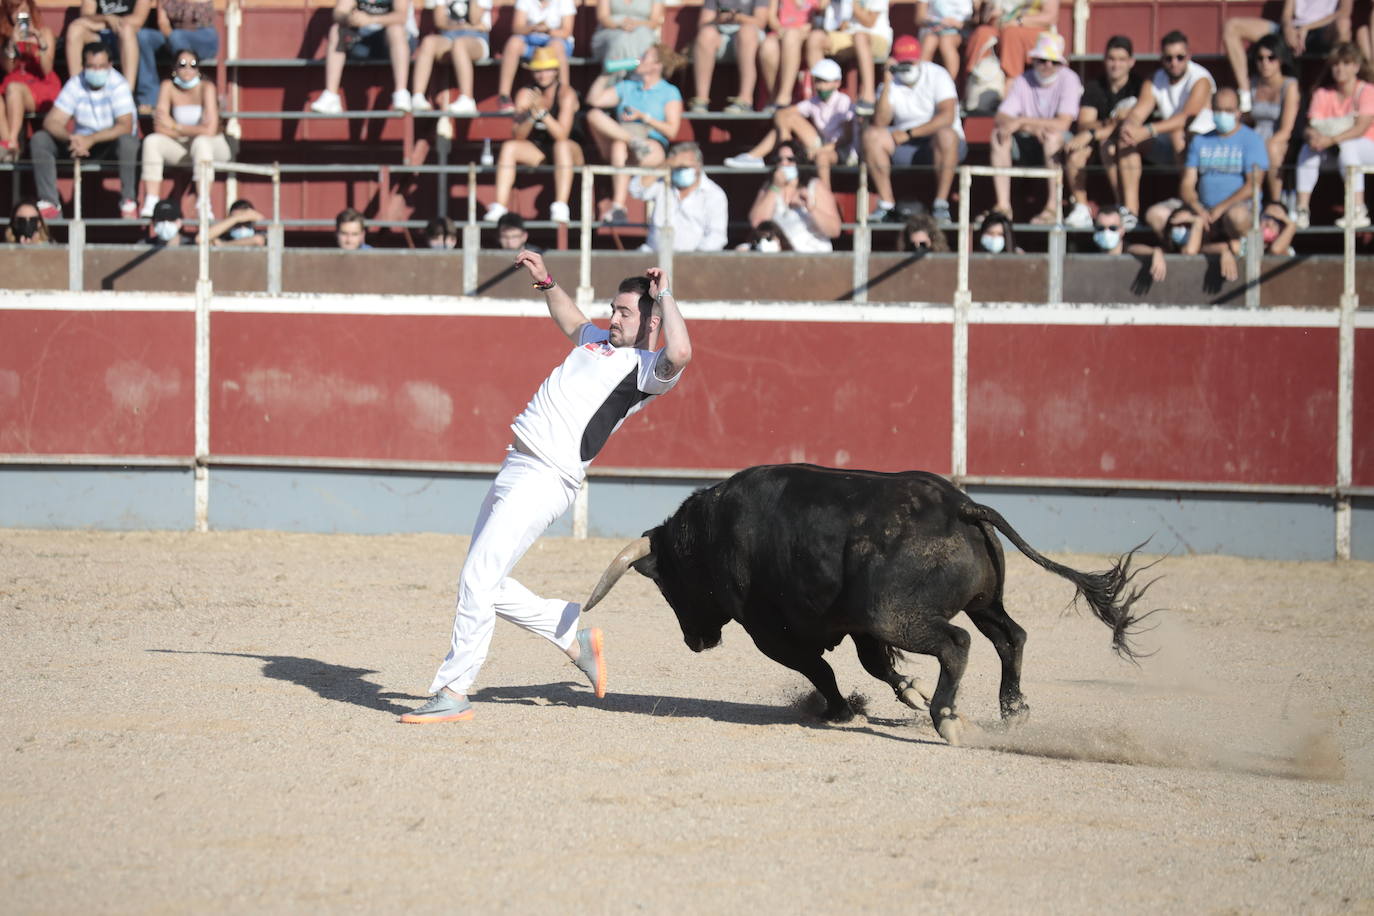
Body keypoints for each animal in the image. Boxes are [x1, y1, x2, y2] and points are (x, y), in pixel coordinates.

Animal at [582, 466, 1159, 747]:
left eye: (670, 585)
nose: (695, 641)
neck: (712, 533)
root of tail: (962, 505)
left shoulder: (771, 632)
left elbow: (819, 668)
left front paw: (841, 711)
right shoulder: (855, 622)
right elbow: (874, 664)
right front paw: (907, 691)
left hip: (896, 613)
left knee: (957, 643)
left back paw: (949, 720)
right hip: (982, 602)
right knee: (1008, 636)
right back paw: (1012, 713)